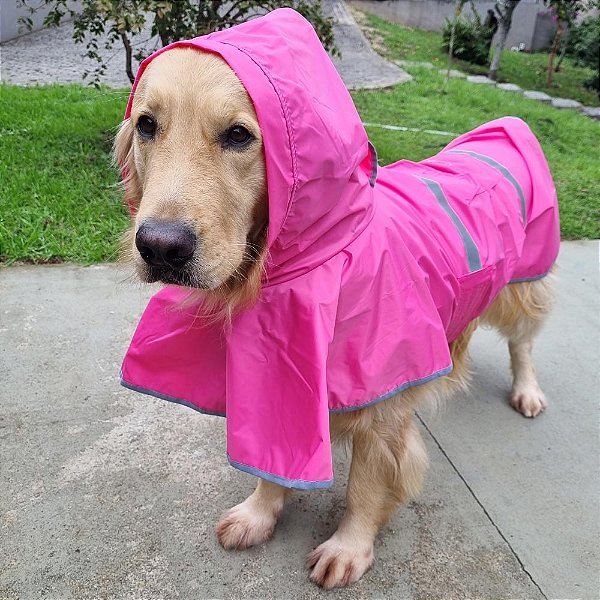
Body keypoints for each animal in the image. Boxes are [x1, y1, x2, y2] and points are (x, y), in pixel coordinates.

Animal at [116, 9, 556, 592]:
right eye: (147, 125)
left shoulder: (384, 409)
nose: (160, 246)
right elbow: (272, 455)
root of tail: (508, 125)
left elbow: (366, 487)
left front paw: (350, 548)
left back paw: (527, 390)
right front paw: (259, 512)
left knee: (524, 342)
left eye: (238, 134)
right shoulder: (273, 377)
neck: (320, 261)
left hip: (521, 286)